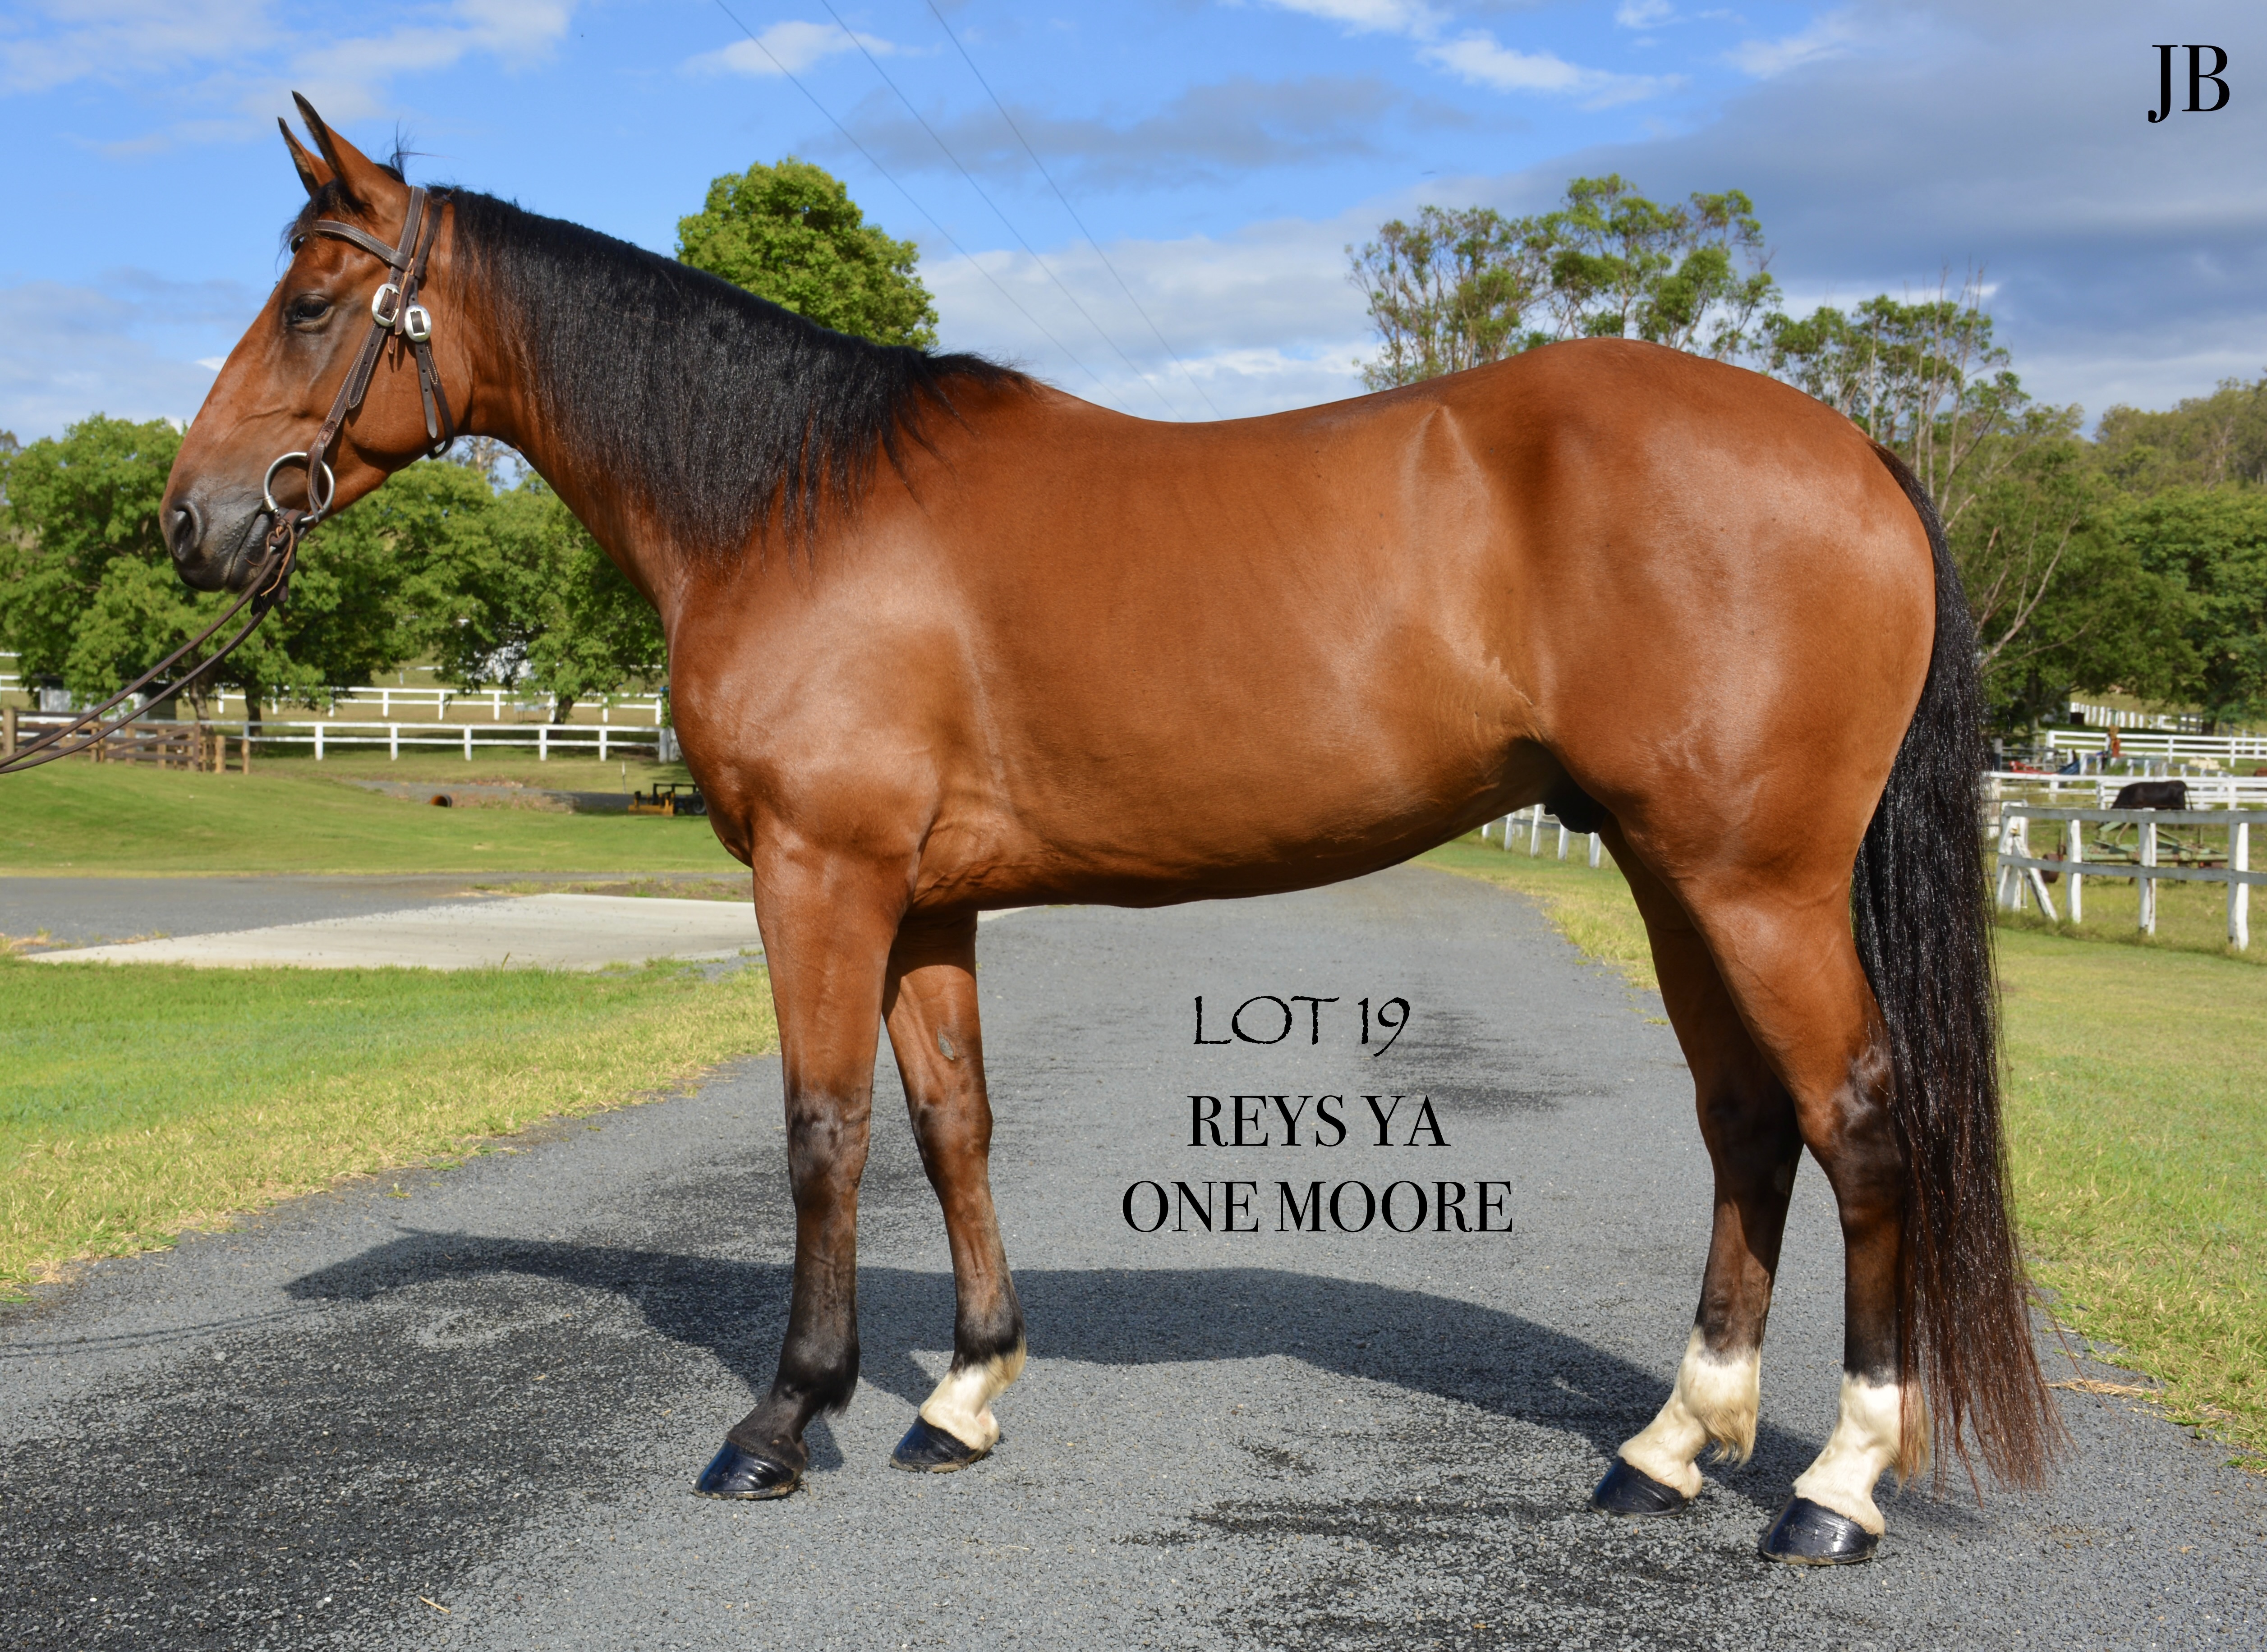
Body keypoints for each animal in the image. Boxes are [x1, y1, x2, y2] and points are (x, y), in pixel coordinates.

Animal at [161, 100, 2059, 1566]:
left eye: (316, 301)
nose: (191, 519)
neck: (789, 505)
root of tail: (1853, 450)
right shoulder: (923, 902)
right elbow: (953, 1125)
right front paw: (961, 1394)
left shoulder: (822, 874)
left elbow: (823, 1133)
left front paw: (782, 1419)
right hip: (1676, 876)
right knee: (1746, 1122)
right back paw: (1669, 1446)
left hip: (1759, 886)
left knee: (1858, 1119)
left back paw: (1831, 1485)